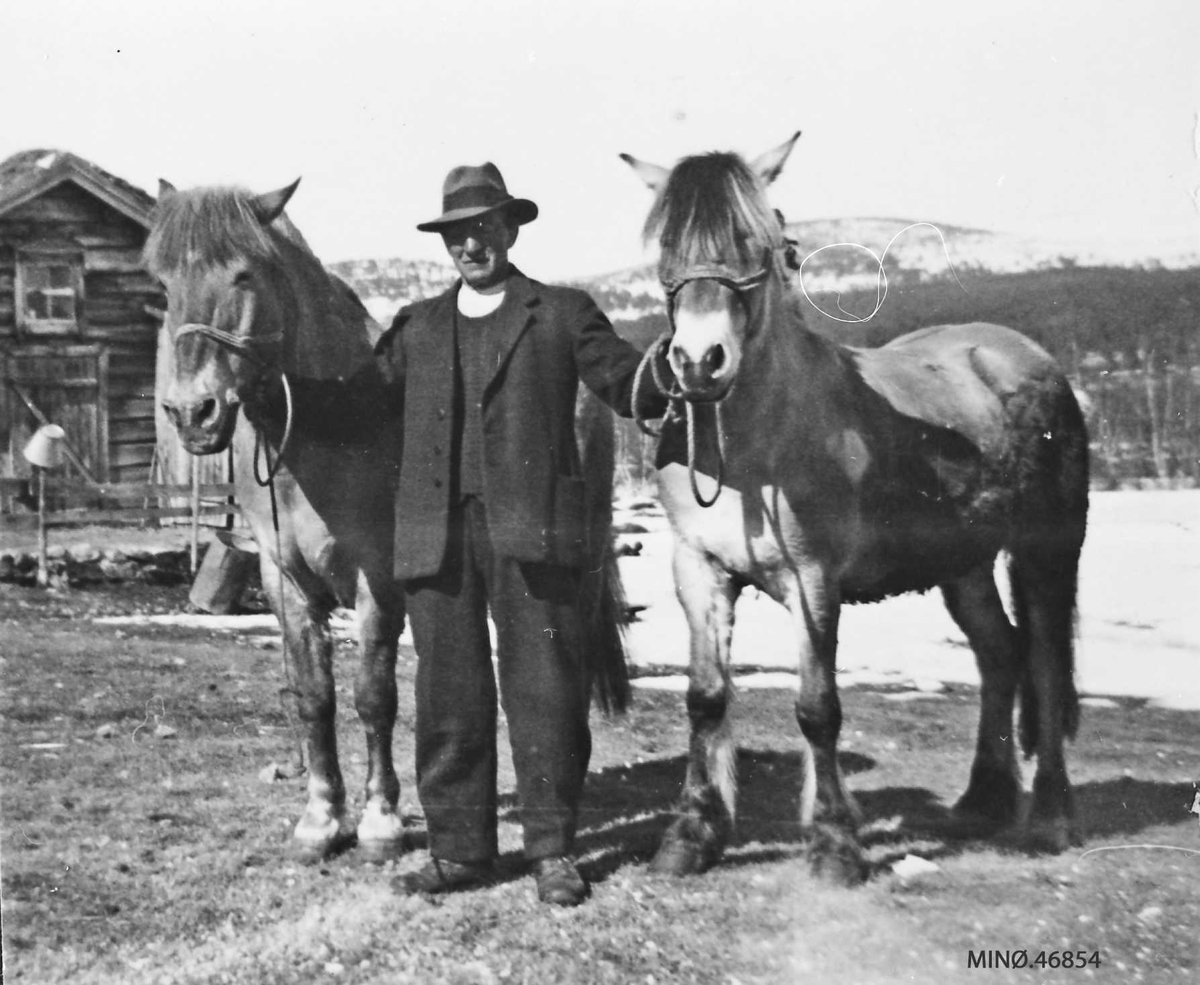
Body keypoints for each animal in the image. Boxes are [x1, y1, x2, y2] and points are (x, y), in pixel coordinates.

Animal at [145, 182, 633, 859]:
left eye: (244, 274)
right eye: (163, 284)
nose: (193, 413)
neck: (330, 430)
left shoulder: (376, 579)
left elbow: (374, 696)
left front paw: (380, 820)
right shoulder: (284, 583)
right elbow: (315, 698)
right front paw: (322, 818)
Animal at [624, 134, 1094, 878]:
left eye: (755, 241)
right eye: (668, 244)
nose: (699, 362)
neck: (755, 448)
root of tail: (1021, 354)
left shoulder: (815, 579)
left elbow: (818, 708)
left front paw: (835, 844)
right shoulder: (698, 569)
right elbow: (705, 700)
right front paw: (690, 835)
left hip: (1046, 549)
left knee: (1044, 663)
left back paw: (1049, 816)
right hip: (962, 564)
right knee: (1000, 653)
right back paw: (981, 801)